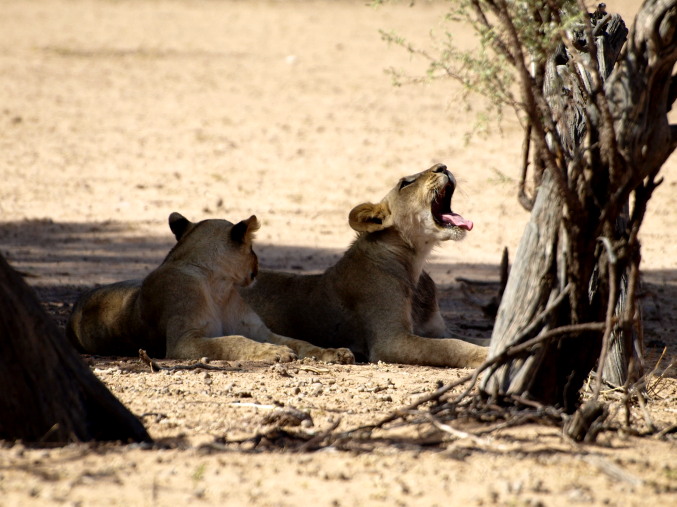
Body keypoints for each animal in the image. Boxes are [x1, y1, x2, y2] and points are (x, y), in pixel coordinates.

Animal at [66, 211, 356, 366]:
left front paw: (335, 352)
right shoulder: (183, 342)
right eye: (252, 248)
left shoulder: (259, 330)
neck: (220, 286)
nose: (258, 265)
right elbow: (232, 341)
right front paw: (273, 353)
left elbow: (299, 341)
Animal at [240, 165, 488, 368]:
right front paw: (484, 356)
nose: (443, 166)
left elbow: (478, 338)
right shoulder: (390, 341)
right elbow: (451, 346)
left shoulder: (437, 330)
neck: (414, 265)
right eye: (405, 183)